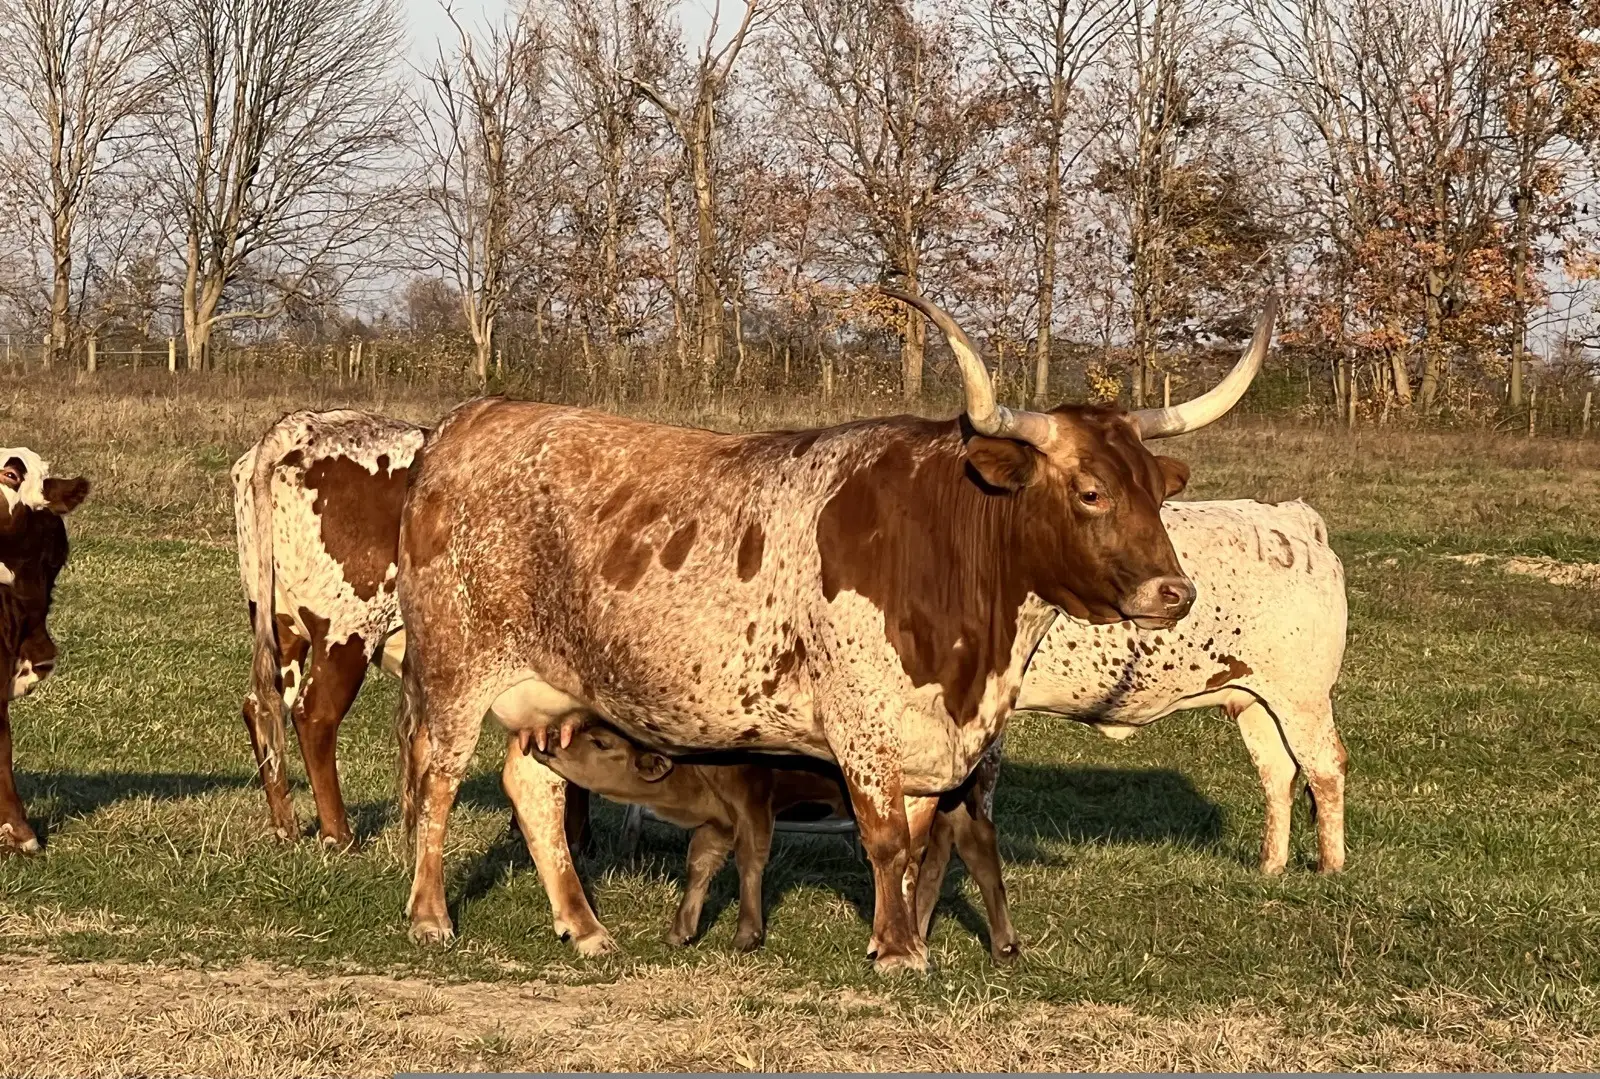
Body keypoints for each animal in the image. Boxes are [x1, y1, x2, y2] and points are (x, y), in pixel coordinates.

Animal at [394, 290, 1276, 972]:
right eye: (1091, 490)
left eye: (1153, 491)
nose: (1175, 591)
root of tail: (468, 420)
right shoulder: (863, 724)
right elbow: (883, 840)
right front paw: (900, 952)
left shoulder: (929, 740)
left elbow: (916, 848)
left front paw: (904, 931)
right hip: (455, 668)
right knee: (441, 780)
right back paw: (431, 915)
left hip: (553, 691)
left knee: (533, 786)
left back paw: (585, 928)